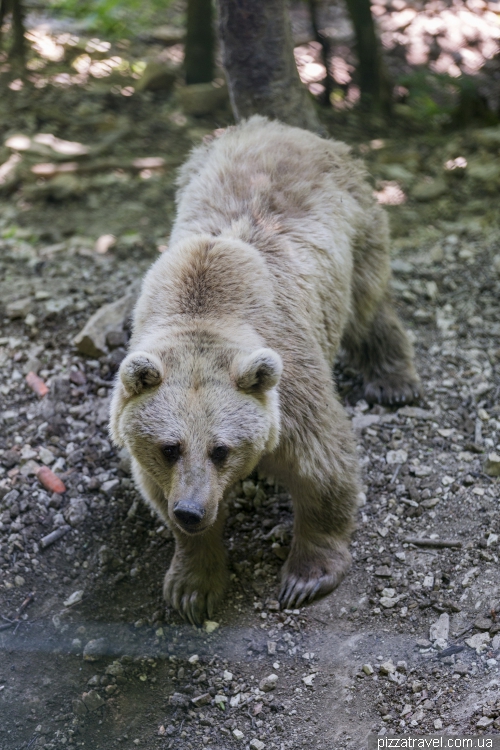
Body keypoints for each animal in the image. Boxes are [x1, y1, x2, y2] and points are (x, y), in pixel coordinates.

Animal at [109, 116, 418, 628]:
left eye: (220, 449)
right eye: (169, 447)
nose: (191, 510)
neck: (203, 309)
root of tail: (281, 127)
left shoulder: (289, 387)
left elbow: (322, 466)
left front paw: (304, 577)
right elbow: (158, 493)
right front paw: (192, 586)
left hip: (357, 226)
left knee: (368, 307)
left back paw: (394, 381)